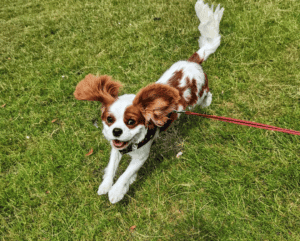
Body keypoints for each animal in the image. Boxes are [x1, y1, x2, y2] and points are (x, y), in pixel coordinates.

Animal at [74, 0, 225, 203]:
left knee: (206, 96)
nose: (116, 131)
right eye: (109, 120)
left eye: (131, 121)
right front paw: (106, 185)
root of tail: (193, 61)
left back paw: (207, 102)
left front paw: (117, 191)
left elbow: (126, 174)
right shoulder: (116, 148)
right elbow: (112, 166)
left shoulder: (141, 156)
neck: (130, 143)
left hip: (198, 95)